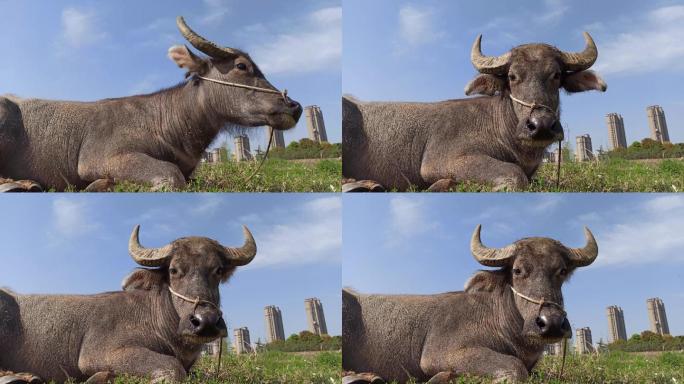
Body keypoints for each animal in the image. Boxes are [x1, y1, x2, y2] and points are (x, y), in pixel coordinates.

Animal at [0, 17, 302, 191]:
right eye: (241, 66)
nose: (294, 106)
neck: (164, 123)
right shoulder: (100, 159)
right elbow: (171, 176)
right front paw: (100, 184)